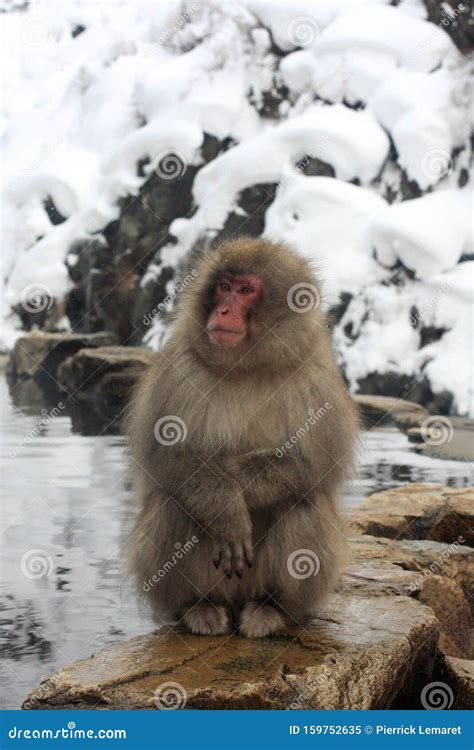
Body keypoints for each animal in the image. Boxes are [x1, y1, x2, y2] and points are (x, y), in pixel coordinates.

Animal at [126, 236, 359, 638]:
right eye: (224, 286)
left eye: (246, 290)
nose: (222, 311)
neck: (246, 366)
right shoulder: (179, 367)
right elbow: (166, 456)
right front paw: (227, 507)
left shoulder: (316, 377)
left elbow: (314, 464)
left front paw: (237, 483)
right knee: (172, 504)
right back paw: (198, 607)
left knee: (301, 501)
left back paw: (272, 608)